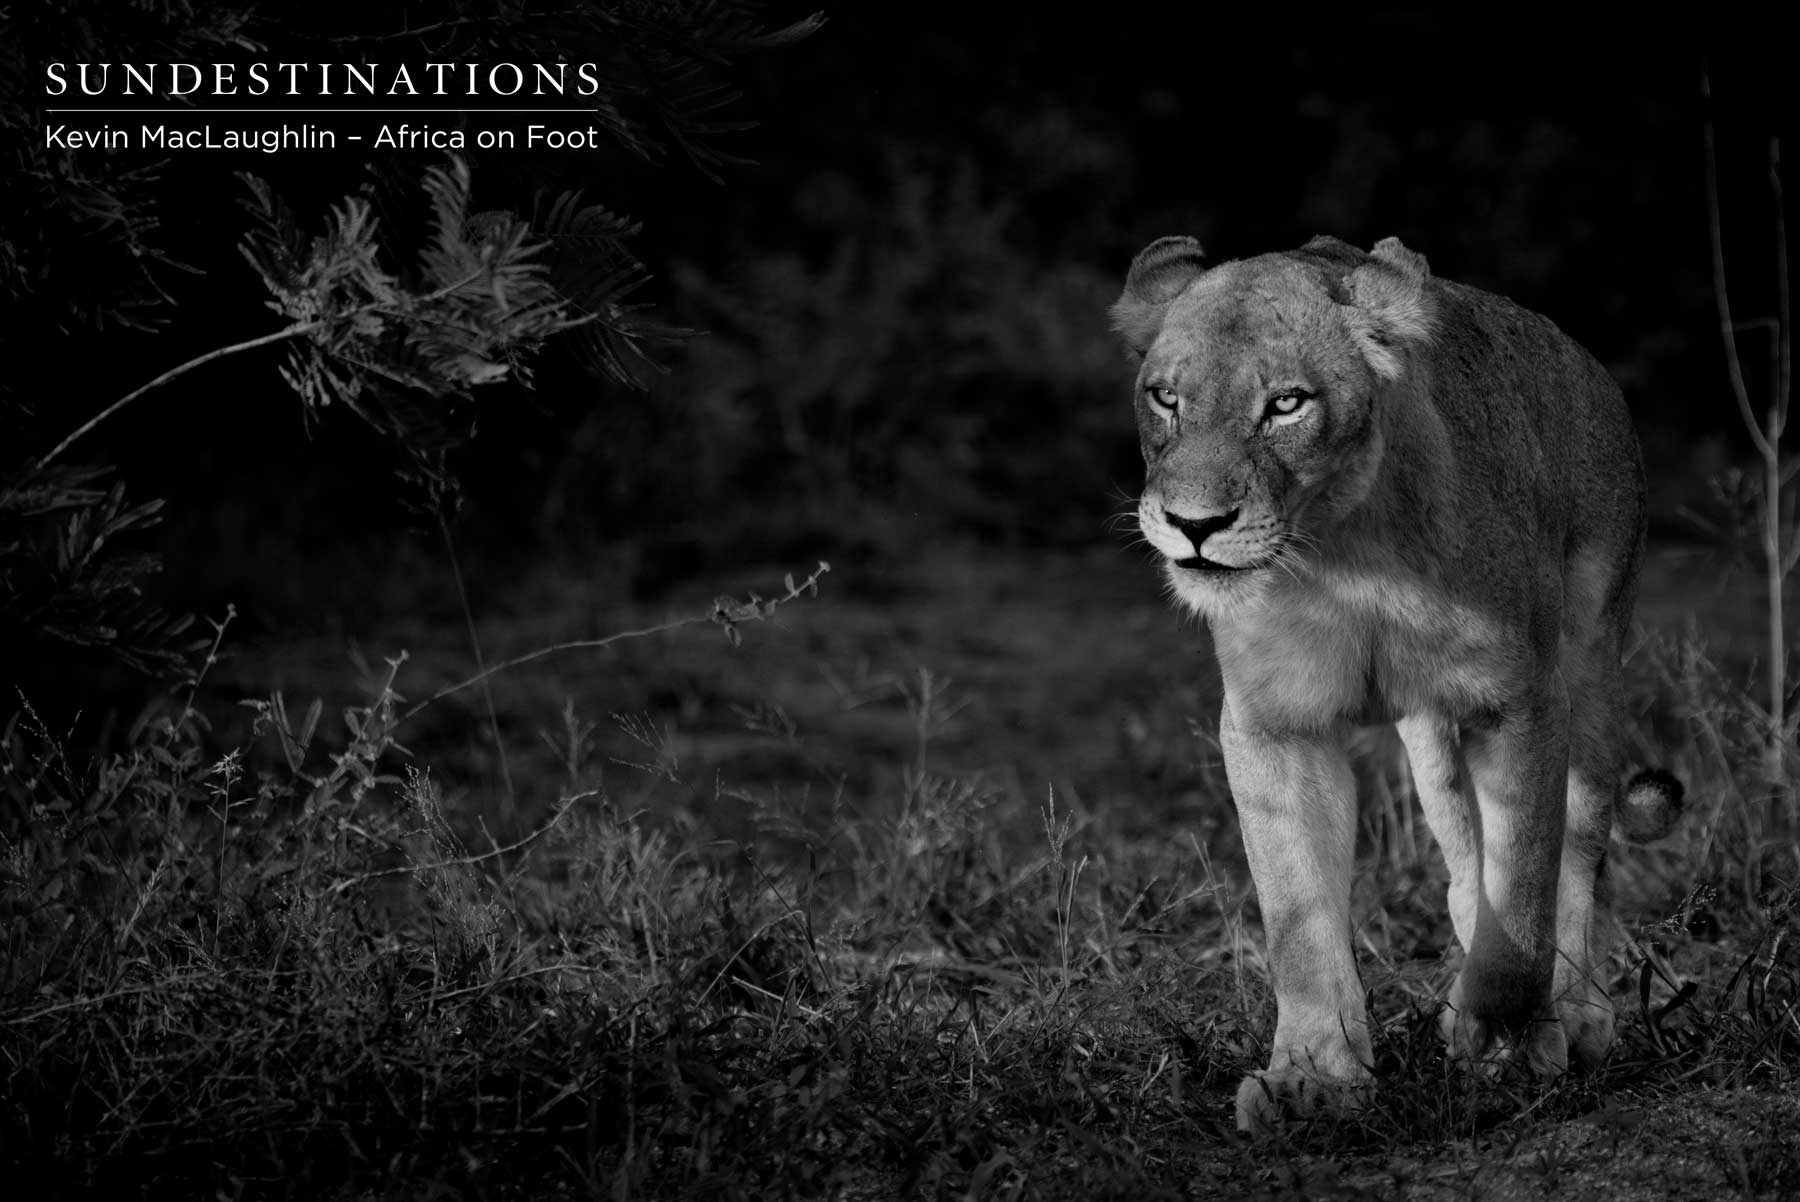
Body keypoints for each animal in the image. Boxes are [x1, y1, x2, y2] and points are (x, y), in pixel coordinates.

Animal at [1111, 234, 1683, 1132]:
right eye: (1166, 398)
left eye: (1286, 404)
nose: (1194, 526)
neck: (1343, 549)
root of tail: (1585, 361)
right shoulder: (1275, 722)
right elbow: (1299, 917)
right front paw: (1313, 1079)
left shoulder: (1518, 701)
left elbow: (1525, 890)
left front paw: (1510, 1053)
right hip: (1432, 742)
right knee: (1465, 861)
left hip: (1593, 659)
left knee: (1578, 849)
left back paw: (1577, 1014)